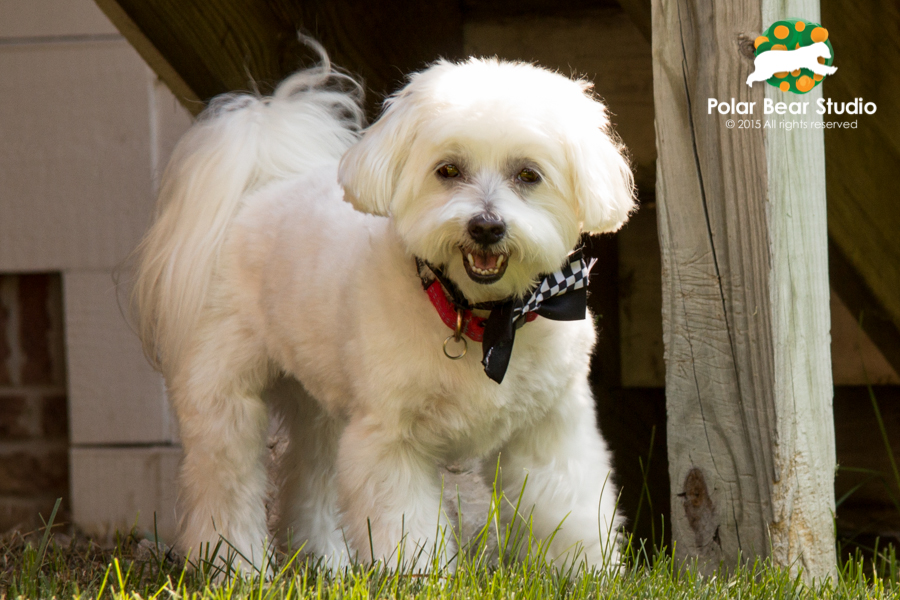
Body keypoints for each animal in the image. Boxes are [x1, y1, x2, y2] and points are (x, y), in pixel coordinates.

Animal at [134, 47, 636, 572]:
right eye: (448, 170)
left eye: (528, 175)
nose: (486, 226)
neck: (481, 320)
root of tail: (259, 187)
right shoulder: (392, 441)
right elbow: (406, 529)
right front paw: (421, 577)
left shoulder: (551, 429)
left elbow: (570, 510)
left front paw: (586, 574)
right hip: (224, 394)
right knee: (225, 482)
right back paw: (236, 567)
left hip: (322, 405)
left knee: (310, 475)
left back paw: (326, 561)